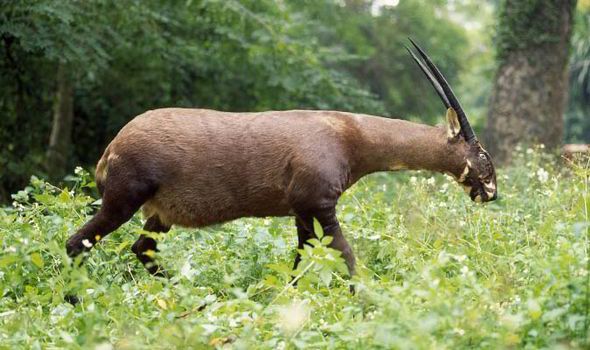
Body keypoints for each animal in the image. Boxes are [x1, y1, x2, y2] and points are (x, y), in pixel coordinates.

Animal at [66, 39, 500, 282]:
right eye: (482, 154)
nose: (492, 193)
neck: (350, 135)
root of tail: (110, 149)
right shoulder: (320, 205)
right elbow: (347, 258)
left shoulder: (302, 212)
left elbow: (299, 261)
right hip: (124, 199)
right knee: (76, 243)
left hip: (159, 214)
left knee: (141, 248)